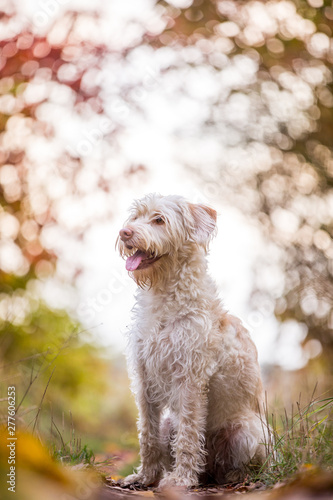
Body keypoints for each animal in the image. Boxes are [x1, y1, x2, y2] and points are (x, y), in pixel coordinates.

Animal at [116, 194, 264, 488]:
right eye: (135, 217)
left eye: (159, 220)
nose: (124, 232)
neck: (164, 295)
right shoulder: (144, 378)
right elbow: (147, 434)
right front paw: (145, 477)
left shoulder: (190, 379)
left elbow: (187, 434)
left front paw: (180, 480)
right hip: (167, 425)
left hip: (246, 432)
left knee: (241, 463)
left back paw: (233, 477)